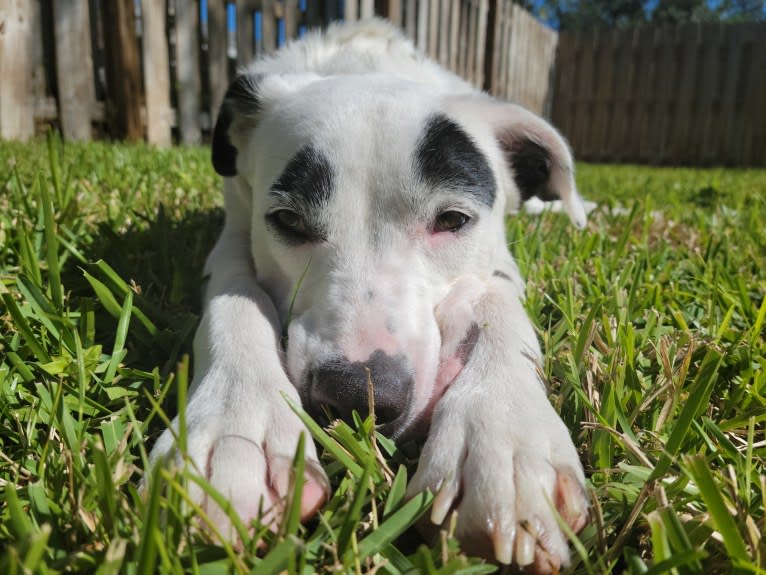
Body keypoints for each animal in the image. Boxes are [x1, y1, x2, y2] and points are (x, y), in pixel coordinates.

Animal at [153, 19, 592, 575]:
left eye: (453, 219)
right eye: (288, 220)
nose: (356, 396)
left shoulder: (500, 264)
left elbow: (502, 306)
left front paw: (504, 435)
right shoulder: (233, 235)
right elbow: (234, 297)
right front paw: (236, 423)